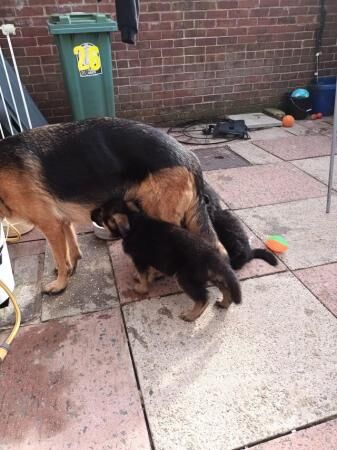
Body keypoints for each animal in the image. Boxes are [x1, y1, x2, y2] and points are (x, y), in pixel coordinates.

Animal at [0, 118, 223, 296]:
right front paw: (72, 263)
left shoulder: (50, 226)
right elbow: (70, 244)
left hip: (158, 214)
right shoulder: (62, 221)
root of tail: (190, 156)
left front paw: (60, 283)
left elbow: (59, 257)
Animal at [90, 201, 240, 324]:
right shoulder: (148, 260)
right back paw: (224, 303)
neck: (133, 220)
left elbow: (143, 275)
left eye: (101, 213)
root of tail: (213, 256)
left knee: (203, 298)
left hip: (185, 278)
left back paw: (191, 315)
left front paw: (141, 288)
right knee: (225, 288)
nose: (91, 213)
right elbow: (149, 272)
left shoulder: (139, 259)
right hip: (210, 275)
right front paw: (147, 279)